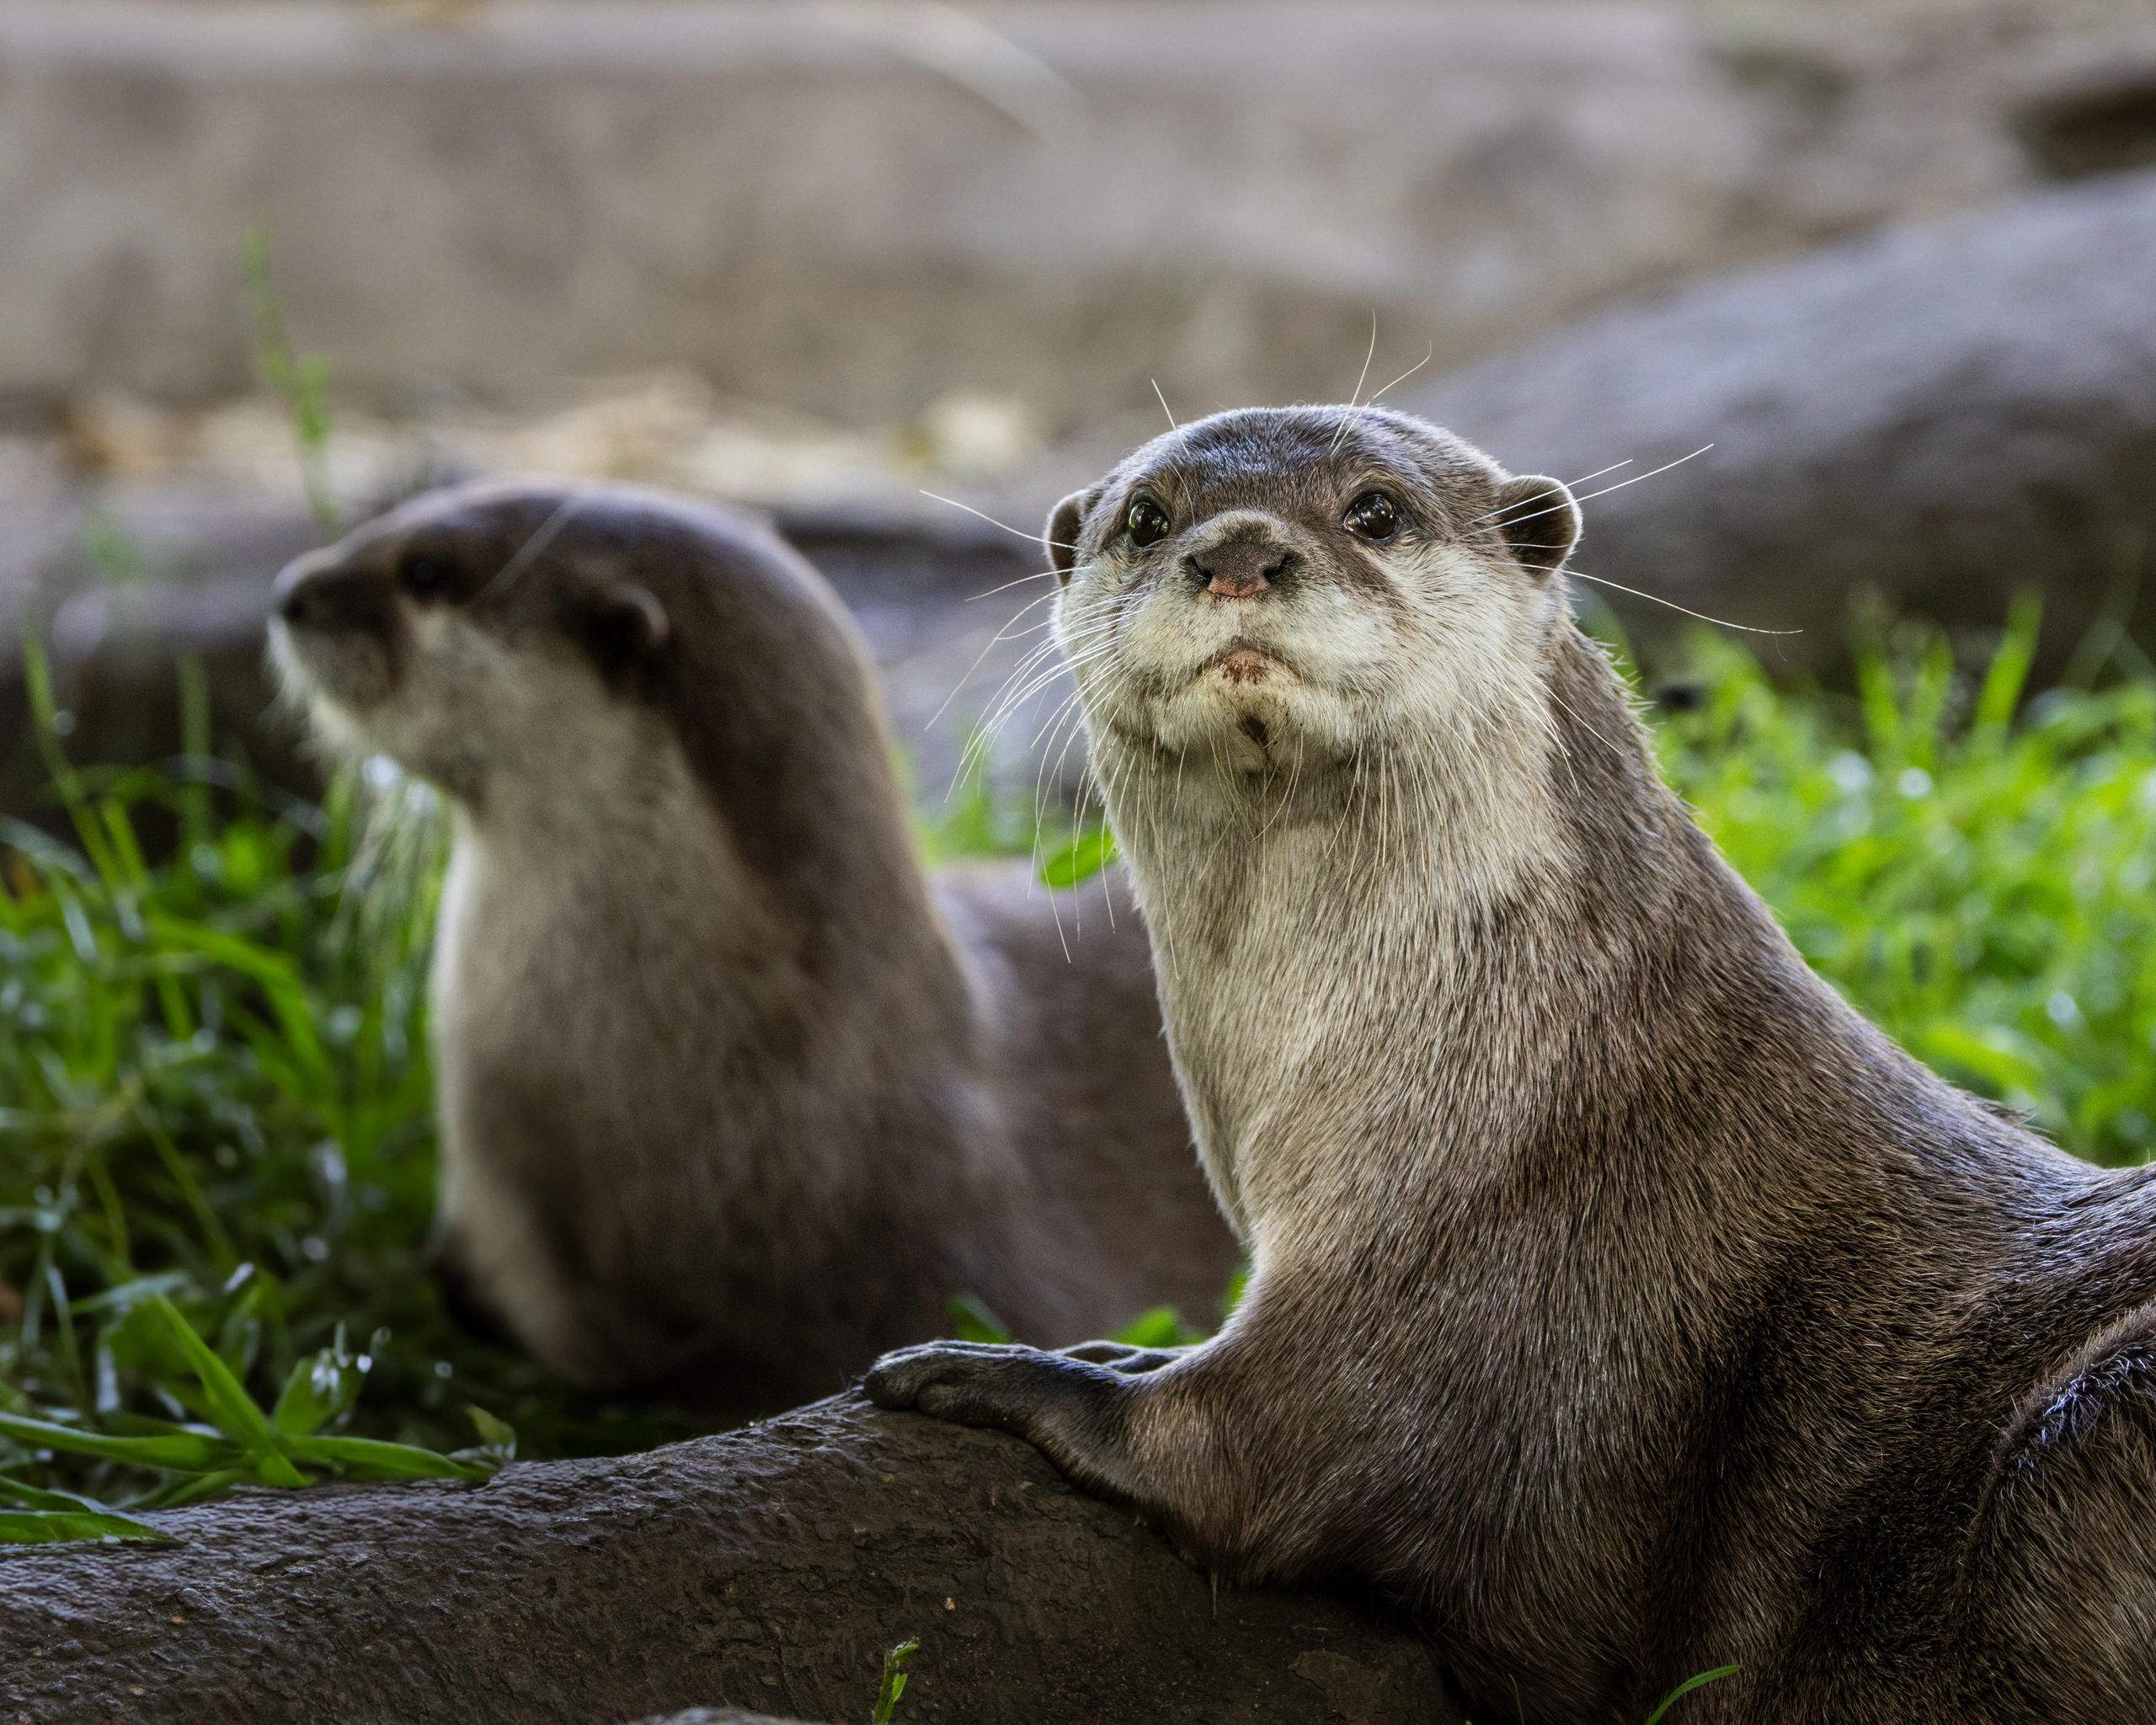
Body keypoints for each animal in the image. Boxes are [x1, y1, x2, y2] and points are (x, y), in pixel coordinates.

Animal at [868, 406, 2156, 1721]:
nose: (1236, 554)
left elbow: (1250, 1452)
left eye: (1376, 510)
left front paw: (1005, 1371)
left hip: (2096, 1425)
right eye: (1146, 515)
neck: (1557, 1078)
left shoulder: (1455, 1268)